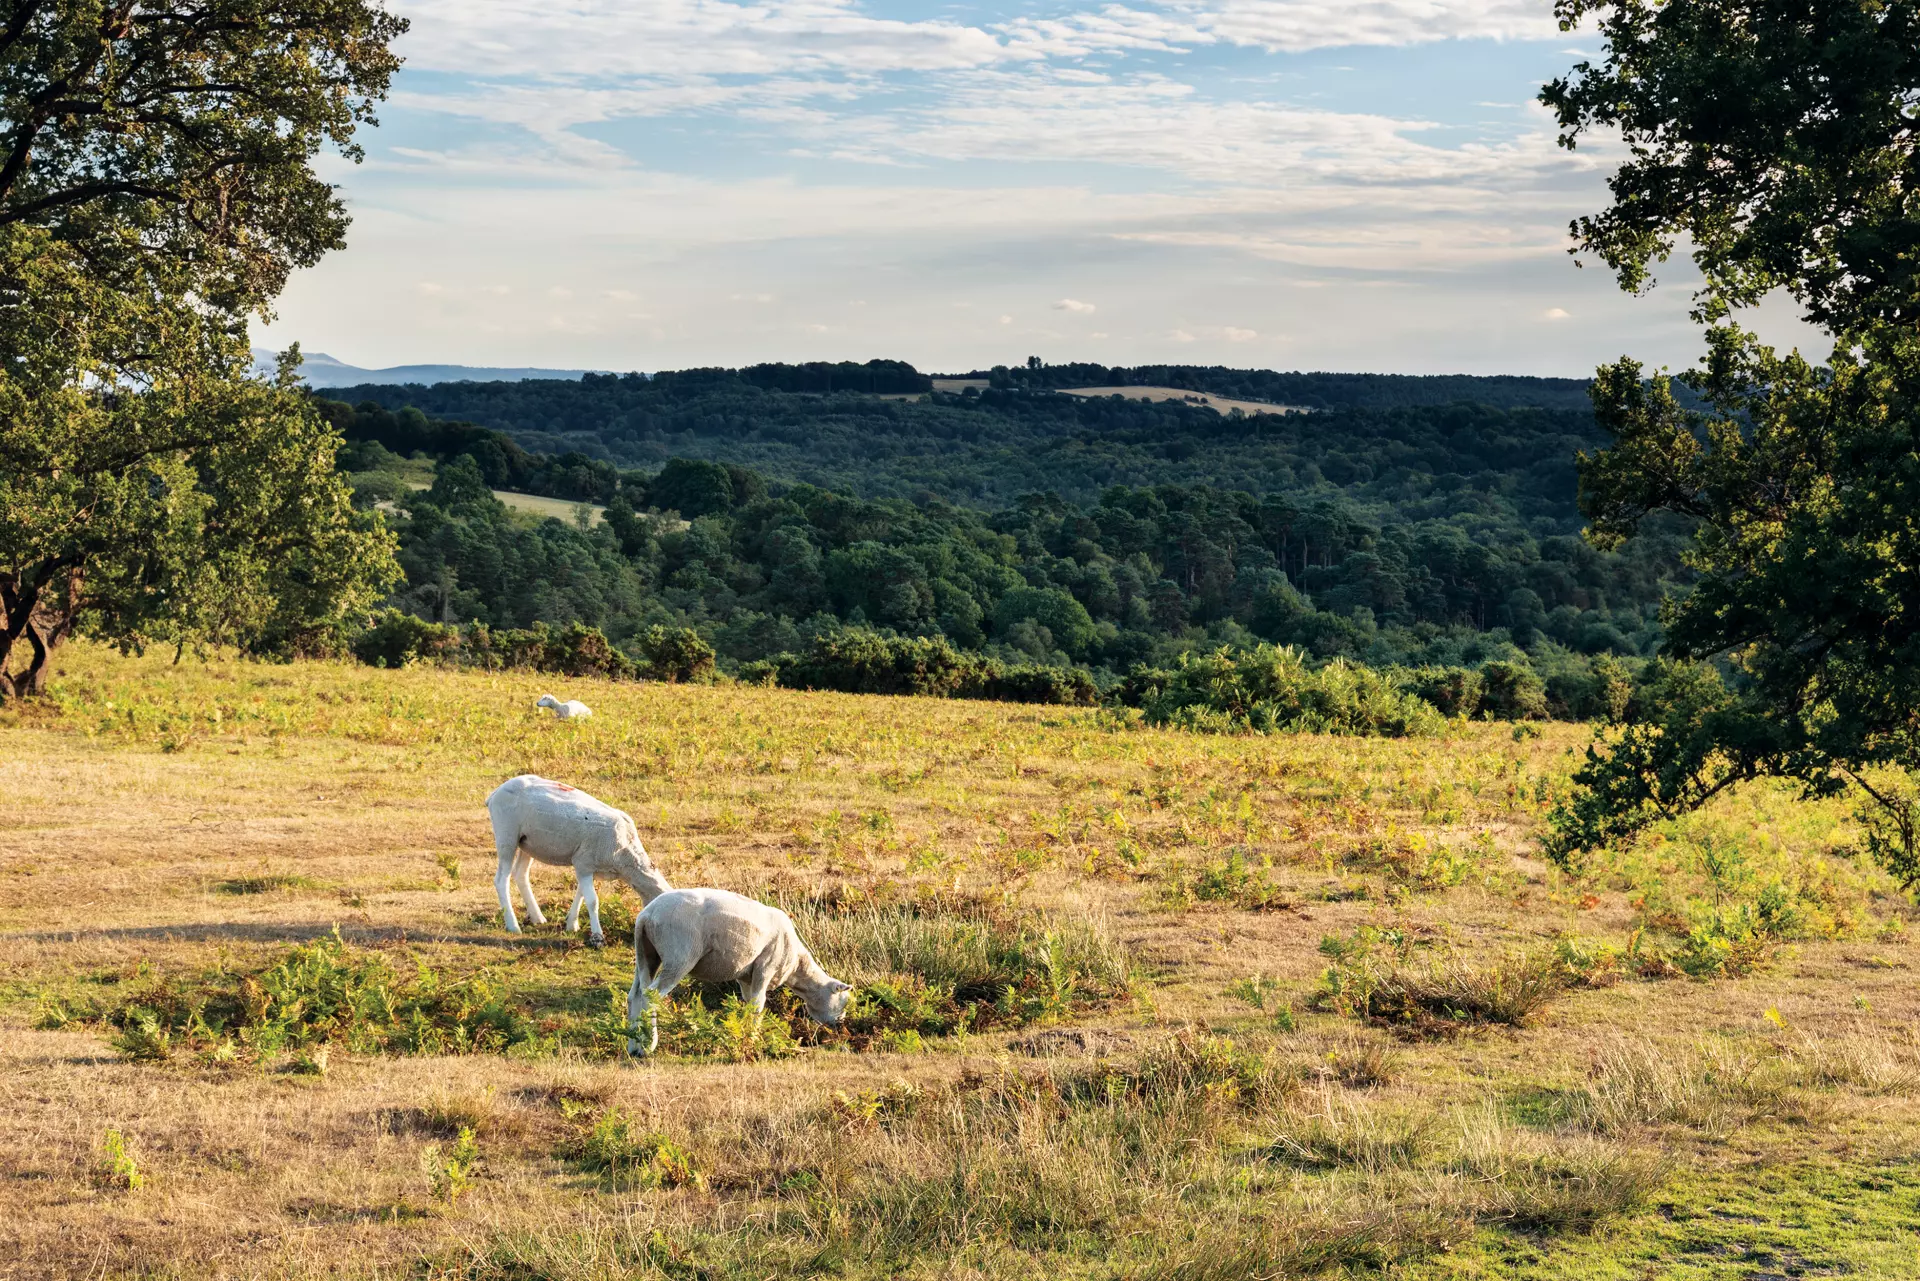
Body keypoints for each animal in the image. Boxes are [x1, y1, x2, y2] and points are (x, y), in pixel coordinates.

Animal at [485, 774, 671, 947]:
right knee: (501, 880)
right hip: (506, 835)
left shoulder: (587, 866)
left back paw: (537, 917)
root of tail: (495, 793)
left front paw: (571, 924)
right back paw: (513, 925)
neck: (627, 855)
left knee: (520, 874)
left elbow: (580, 895)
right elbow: (592, 901)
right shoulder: (583, 862)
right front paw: (598, 937)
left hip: (528, 844)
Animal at [625, 887, 853, 1056]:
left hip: (646, 954)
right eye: (843, 1000)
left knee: (635, 994)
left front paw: (745, 1035)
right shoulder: (766, 967)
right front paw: (753, 1040)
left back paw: (633, 1046)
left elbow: (748, 1003)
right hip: (679, 955)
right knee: (651, 994)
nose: (840, 1025)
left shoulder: (745, 977)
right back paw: (648, 1046)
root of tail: (646, 915)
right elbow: (758, 1005)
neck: (796, 965)